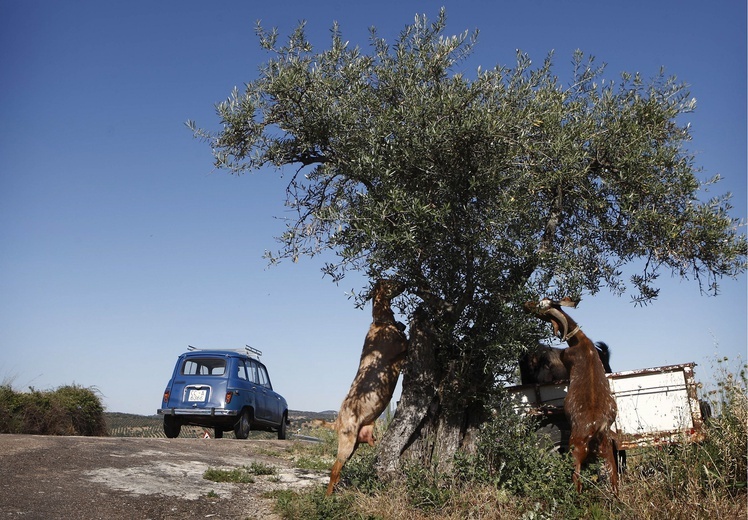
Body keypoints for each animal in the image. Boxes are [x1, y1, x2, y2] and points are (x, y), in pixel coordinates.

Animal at [324, 280, 410, 496]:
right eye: (390, 281)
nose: (404, 282)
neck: (381, 322)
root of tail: (337, 421)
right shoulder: (402, 346)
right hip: (346, 444)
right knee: (334, 470)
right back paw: (328, 497)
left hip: (354, 444)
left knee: (338, 471)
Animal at [520, 298, 620, 494]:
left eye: (541, 306)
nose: (526, 303)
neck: (580, 341)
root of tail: (596, 430)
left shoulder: (566, 357)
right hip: (606, 452)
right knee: (614, 480)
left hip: (576, 450)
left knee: (577, 481)